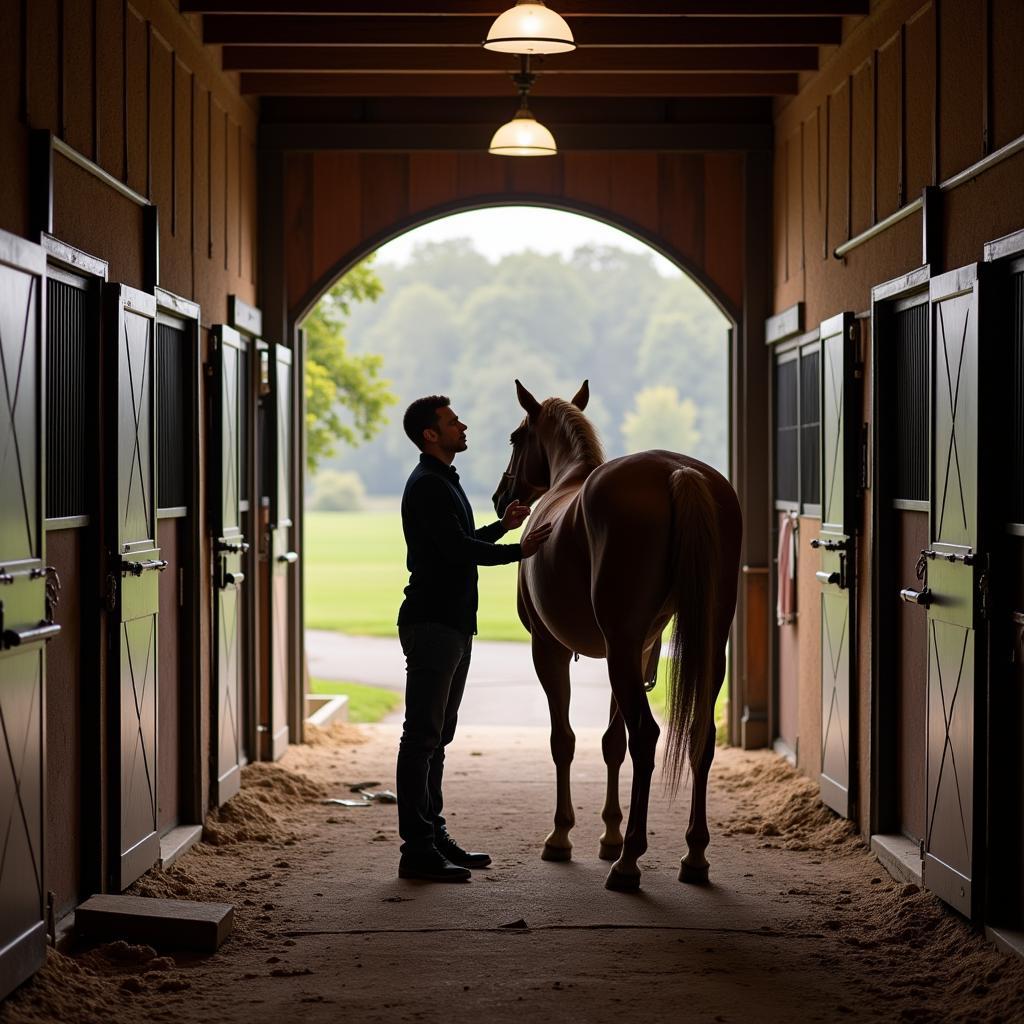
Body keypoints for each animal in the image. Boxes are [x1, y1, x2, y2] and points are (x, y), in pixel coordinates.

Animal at [491, 380, 741, 892]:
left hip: (618, 650)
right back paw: (694, 856)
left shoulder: (551, 649)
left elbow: (564, 740)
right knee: (700, 736)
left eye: (514, 437)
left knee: (647, 735)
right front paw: (608, 835)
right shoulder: (634, 653)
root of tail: (679, 472)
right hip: (702, 646)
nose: (501, 497)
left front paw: (562, 837)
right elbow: (611, 744)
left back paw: (629, 864)